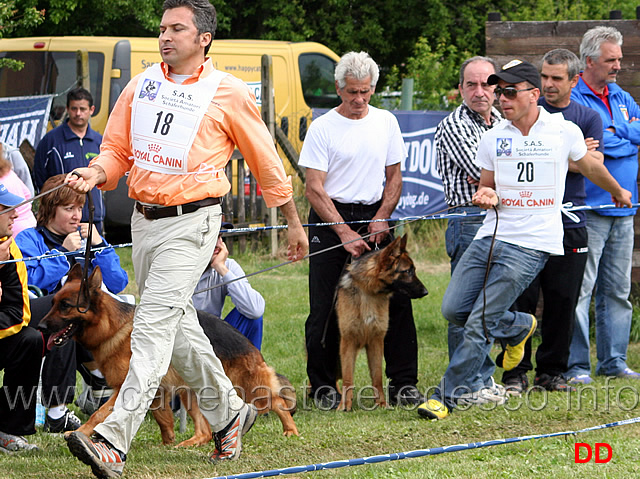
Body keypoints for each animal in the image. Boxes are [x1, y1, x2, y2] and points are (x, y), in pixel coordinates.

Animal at [38, 262, 298, 446]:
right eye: (53, 302)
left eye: (65, 306)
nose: (39, 327)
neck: (111, 326)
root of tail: (246, 342)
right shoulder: (157, 392)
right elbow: (163, 419)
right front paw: (167, 442)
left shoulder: (127, 388)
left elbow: (99, 414)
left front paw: (79, 433)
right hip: (191, 393)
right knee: (204, 431)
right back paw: (189, 443)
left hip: (246, 387)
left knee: (278, 402)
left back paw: (290, 430)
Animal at [332, 234, 428, 410]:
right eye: (408, 271)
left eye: (414, 270)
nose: (426, 292)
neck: (368, 292)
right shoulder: (348, 342)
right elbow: (348, 379)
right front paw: (344, 406)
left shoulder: (376, 341)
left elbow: (377, 377)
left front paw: (382, 404)